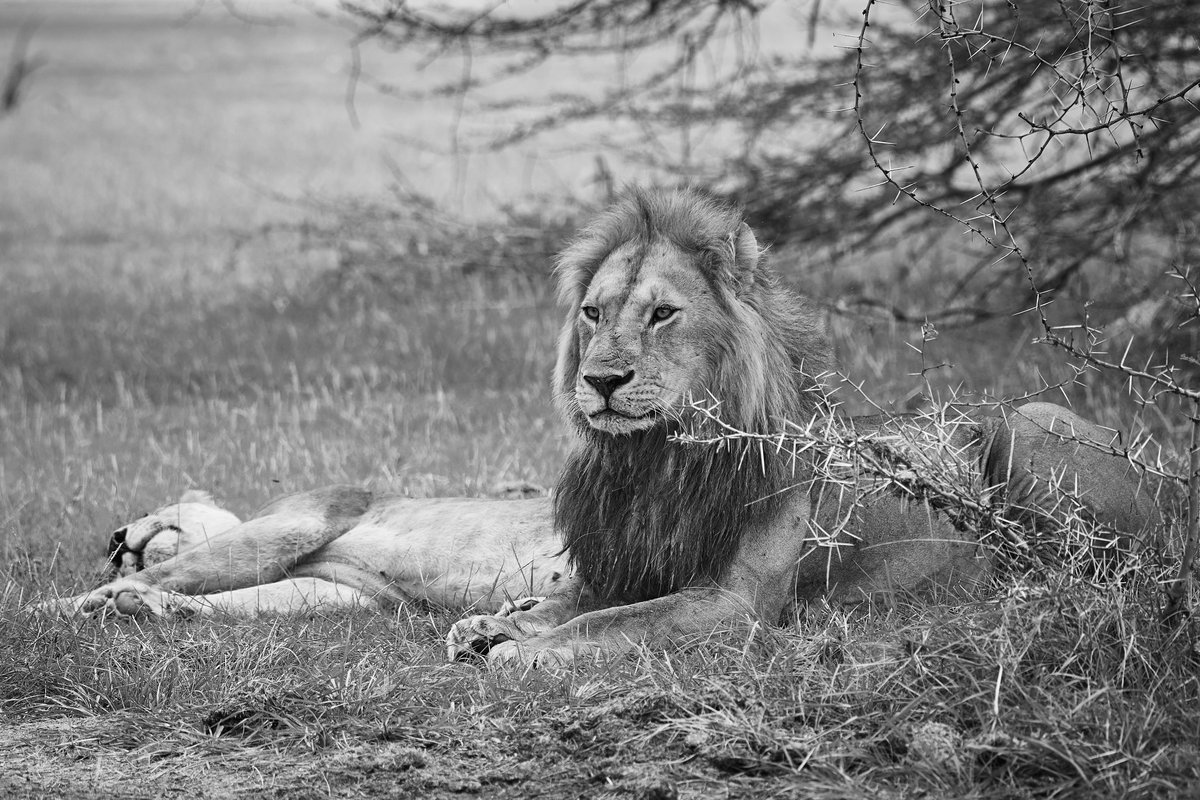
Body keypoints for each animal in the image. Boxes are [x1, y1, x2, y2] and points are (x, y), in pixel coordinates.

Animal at [42, 188, 1162, 669]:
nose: (603, 379)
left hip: (1027, 424)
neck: (658, 458)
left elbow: (604, 623)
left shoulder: (730, 602)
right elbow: (577, 599)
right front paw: (499, 623)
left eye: (661, 314)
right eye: (590, 311)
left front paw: (516, 646)